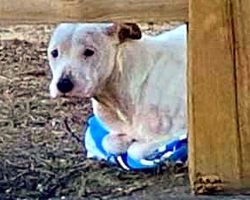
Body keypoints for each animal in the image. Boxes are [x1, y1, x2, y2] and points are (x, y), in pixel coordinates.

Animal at [47, 23, 187, 161]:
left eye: (89, 52)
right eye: (54, 53)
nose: (63, 84)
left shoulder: (179, 132)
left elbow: (135, 150)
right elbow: (109, 142)